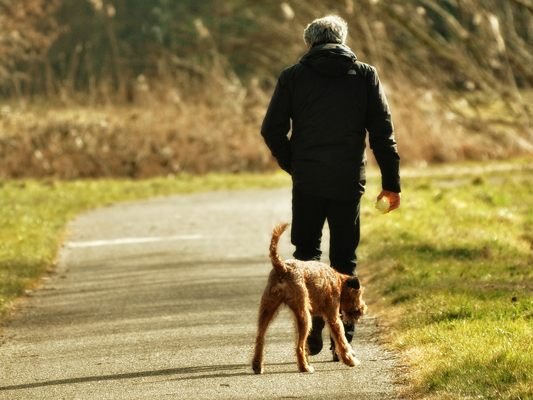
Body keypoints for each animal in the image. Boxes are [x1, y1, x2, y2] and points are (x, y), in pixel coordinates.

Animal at [251, 223, 364, 374]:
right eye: (359, 294)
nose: (363, 309)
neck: (337, 281)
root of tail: (283, 268)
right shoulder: (333, 317)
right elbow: (342, 340)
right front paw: (350, 360)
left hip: (268, 309)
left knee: (260, 338)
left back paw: (258, 365)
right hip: (304, 316)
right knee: (299, 346)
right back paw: (305, 367)